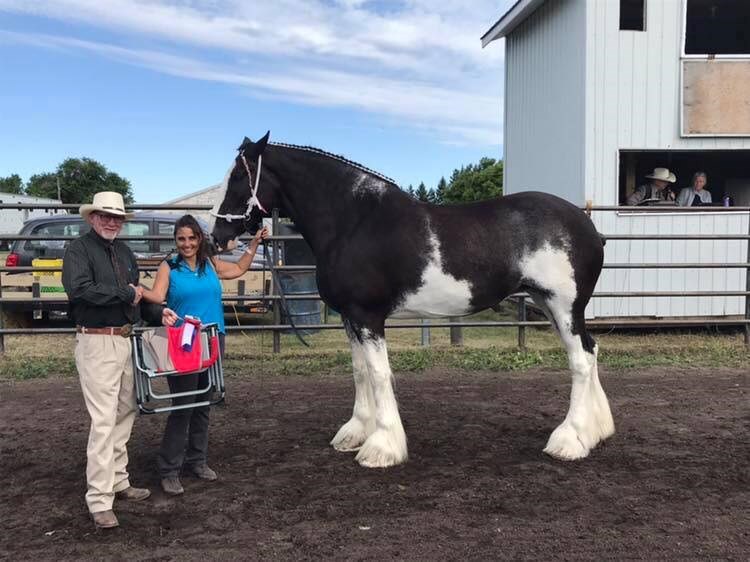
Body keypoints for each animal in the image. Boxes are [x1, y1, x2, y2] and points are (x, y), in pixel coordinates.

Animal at [209, 132, 612, 468]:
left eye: (240, 176)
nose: (217, 236)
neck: (354, 220)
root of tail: (589, 227)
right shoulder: (350, 317)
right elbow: (359, 371)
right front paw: (355, 432)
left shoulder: (369, 316)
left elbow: (378, 373)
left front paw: (381, 447)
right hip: (549, 305)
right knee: (590, 351)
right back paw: (596, 431)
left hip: (564, 306)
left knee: (579, 360)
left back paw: (569, 440)